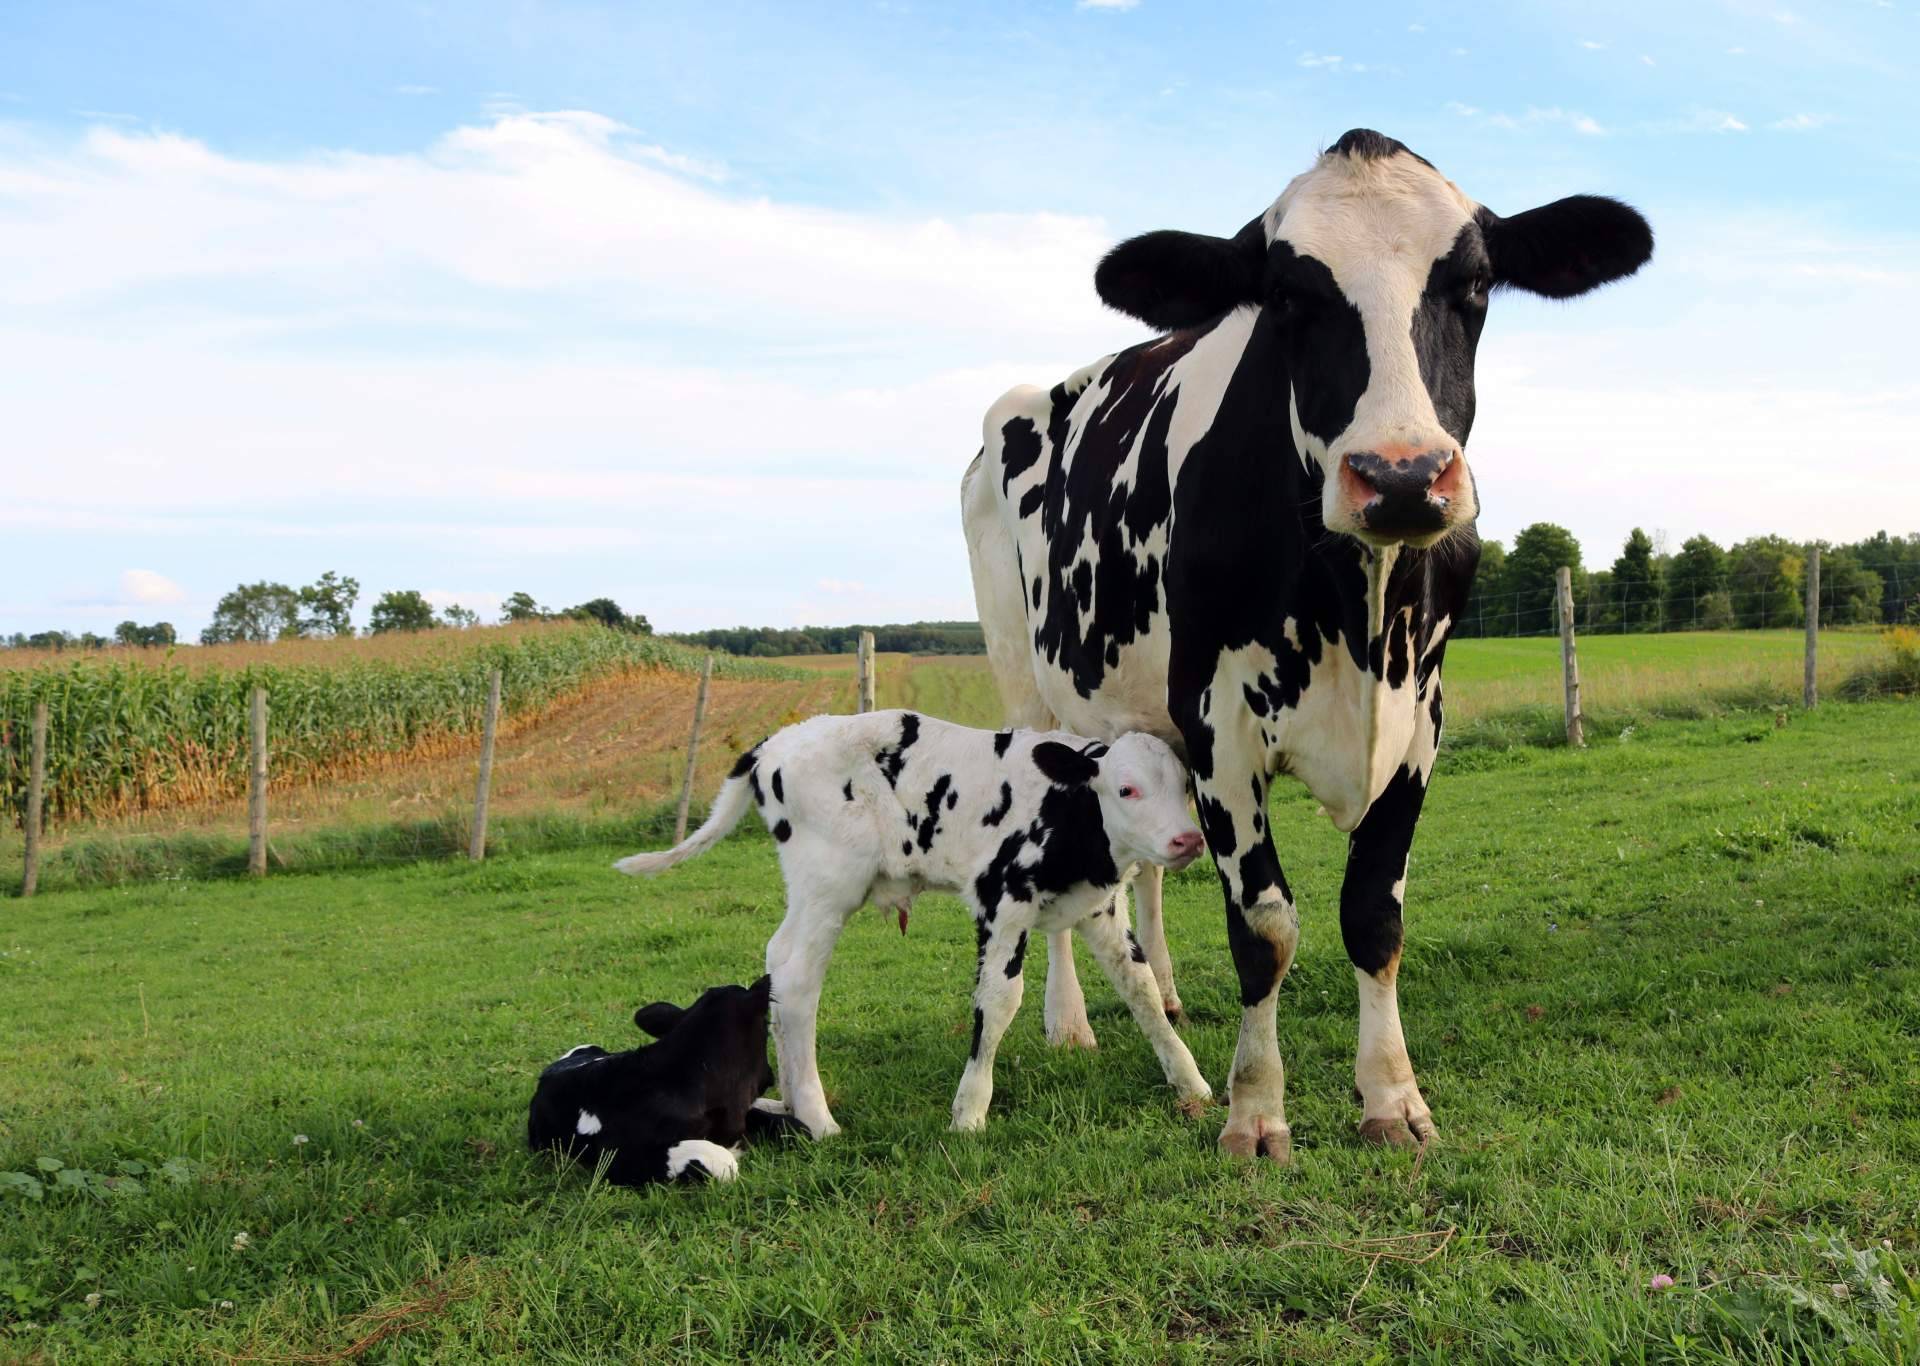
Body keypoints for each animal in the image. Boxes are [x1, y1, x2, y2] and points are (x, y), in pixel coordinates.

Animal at [614, 710, 1213, 1137]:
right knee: (796, 978)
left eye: (1183, 784)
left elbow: (1141, 989)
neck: (1069, 813)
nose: (1187, 840)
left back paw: (790, 1101)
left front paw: (1191, 1082)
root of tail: (776, 743)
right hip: (829, 883)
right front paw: (969, 1112)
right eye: (1126, 789)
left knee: (777, 961)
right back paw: (818, 1118)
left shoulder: (1100, 907)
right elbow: (999, 1001)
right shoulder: (1001, 900)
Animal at [960, 133, 1651, 1168]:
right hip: (1027, 686)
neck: (1354, 611)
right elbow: (1265, 927)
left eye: (1475, 282)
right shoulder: (1220, 727)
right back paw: (1068, 1022)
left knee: (1148, 867)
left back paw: (1165, 990)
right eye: (1286, 296)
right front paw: (1254, 1112)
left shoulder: (1420, 721)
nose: (1402, 475)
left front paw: (1392, 1099)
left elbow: (1373, 915)